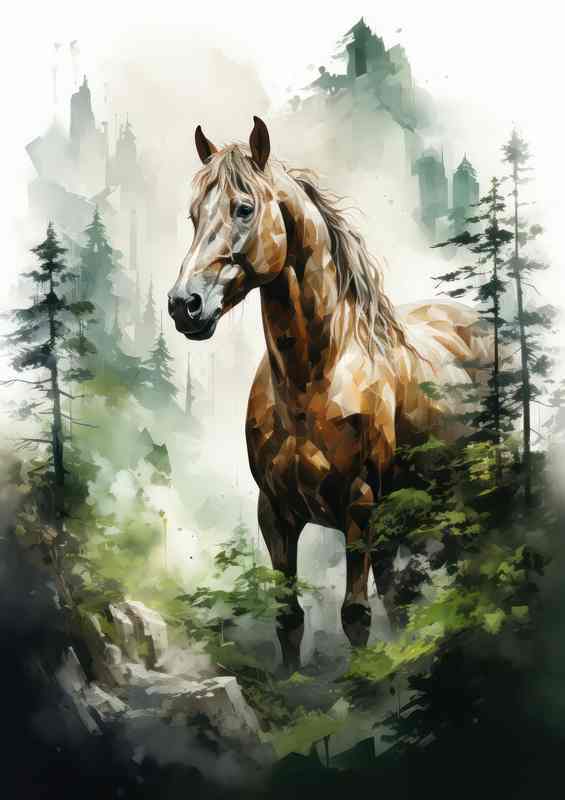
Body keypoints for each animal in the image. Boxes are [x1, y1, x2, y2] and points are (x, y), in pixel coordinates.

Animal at [168, 117, 491, 672]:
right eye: (193, 214)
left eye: (244, 208)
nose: (184, 305)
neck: (312, 383)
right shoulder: (275, 515)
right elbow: (289, 616)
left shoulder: (358, 509)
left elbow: (355, 615)